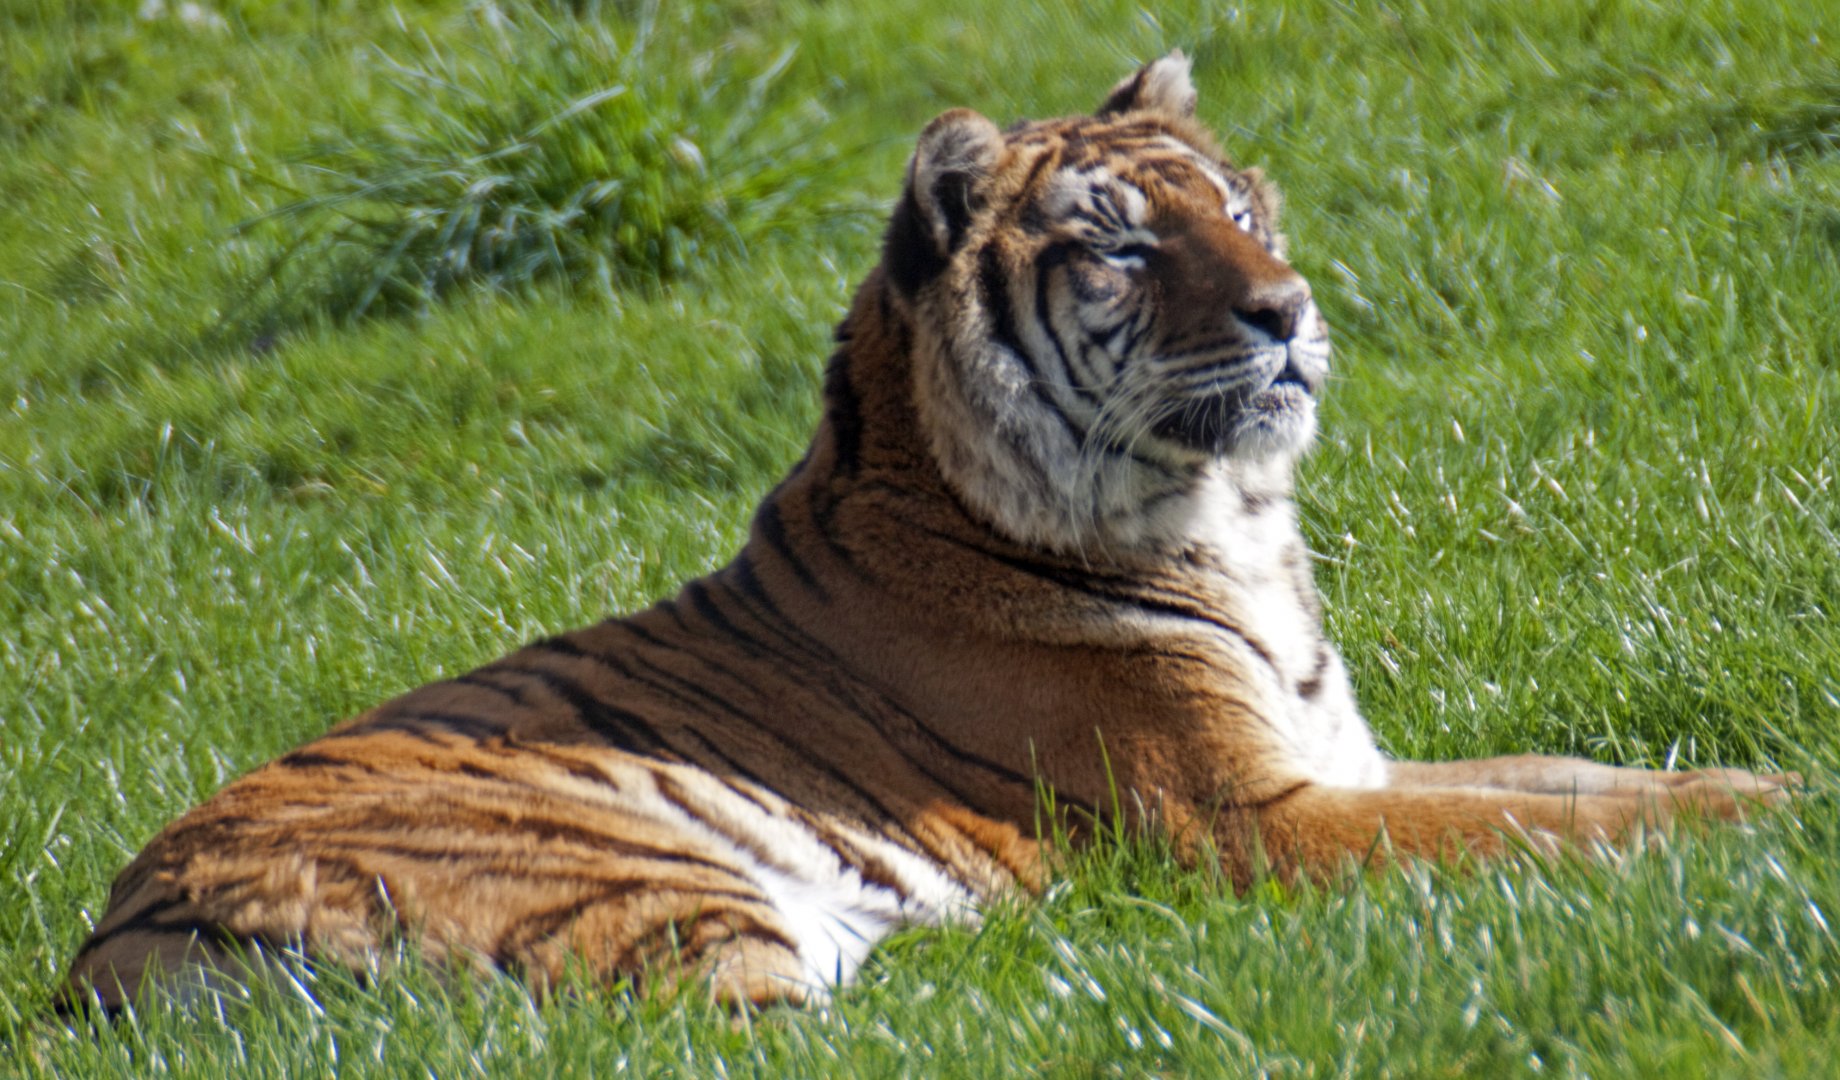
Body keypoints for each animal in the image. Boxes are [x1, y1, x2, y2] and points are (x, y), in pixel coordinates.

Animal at [63, 52, 1792, 1014]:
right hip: (639, 885)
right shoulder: (1257, 818)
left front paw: (1766, 778)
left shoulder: (1341, 758)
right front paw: (1773, 829)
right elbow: (1528, 826)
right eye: (1123, 248)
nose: (1290, 309)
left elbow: (1574, 778)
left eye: (1243, 209)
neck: (1238, 530)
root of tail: (108, 955)